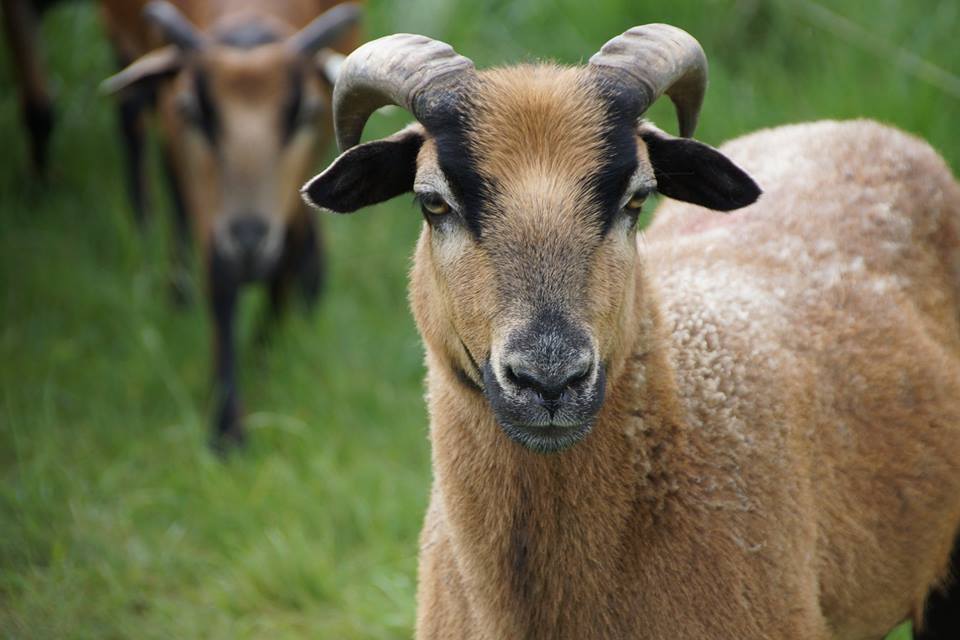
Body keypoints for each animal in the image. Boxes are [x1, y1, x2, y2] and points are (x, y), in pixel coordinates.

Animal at [102, 0, 362, 450]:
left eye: (304, 114)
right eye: (192, 111)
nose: (248, 239)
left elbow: (287, 264)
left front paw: (265, 363)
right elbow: (221, 283)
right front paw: (226, 428)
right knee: (136, 129)